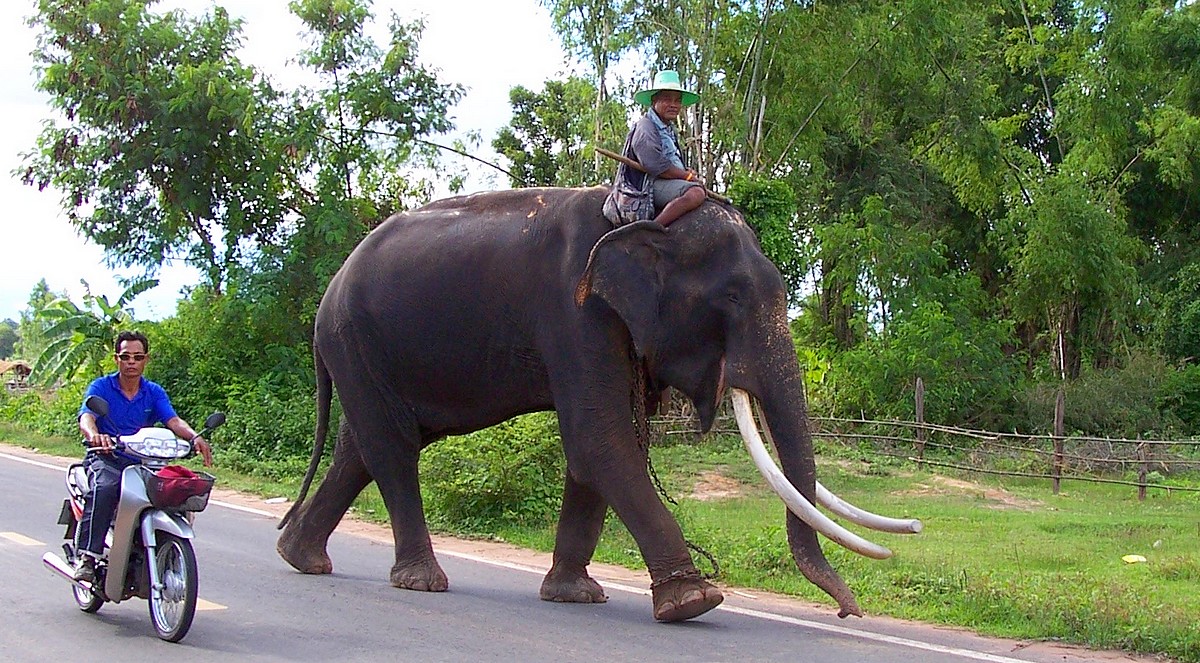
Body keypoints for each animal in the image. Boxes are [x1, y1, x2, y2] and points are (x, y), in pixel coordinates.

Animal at [278, 186, 916, 619]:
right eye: (733, 297)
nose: (848, 611)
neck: (646, 221)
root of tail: (327, 295)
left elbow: (600, 450)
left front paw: (576, 597)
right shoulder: (576, 311)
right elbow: (599, 441)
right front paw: (694, 601)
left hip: (365, 353)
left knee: (361, 447)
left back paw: (298, 557)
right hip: (355, 339)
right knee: (392, 450)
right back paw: (420, 581)